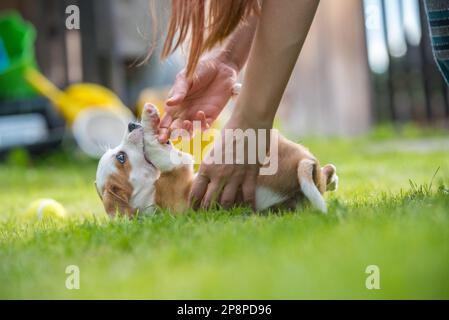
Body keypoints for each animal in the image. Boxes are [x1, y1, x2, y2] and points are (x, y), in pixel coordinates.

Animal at [96, 104, 338, 216]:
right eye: (121, 157)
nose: (130, 124)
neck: (147, 193)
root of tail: (303, 165)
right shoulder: (176, 166)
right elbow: (158, 149)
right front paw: (149, 119)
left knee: (326, 172)